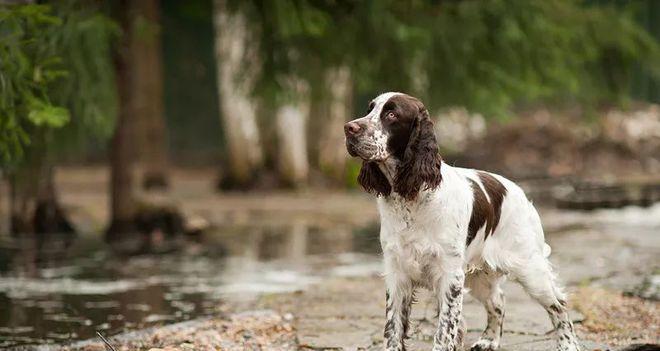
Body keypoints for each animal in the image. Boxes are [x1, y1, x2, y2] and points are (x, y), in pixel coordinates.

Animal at [342, 93, 580, 351]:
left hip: (530, 270)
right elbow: (393, 329)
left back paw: (568, 345)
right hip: (480, 276)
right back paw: (488, 340)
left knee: (559, 305)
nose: (349, 128)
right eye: (370, 109)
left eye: (392, 114)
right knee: (499, 301)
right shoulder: (397, 273)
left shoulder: (449, 275)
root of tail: (520, 193)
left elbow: (444, 331)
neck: (410, 198)